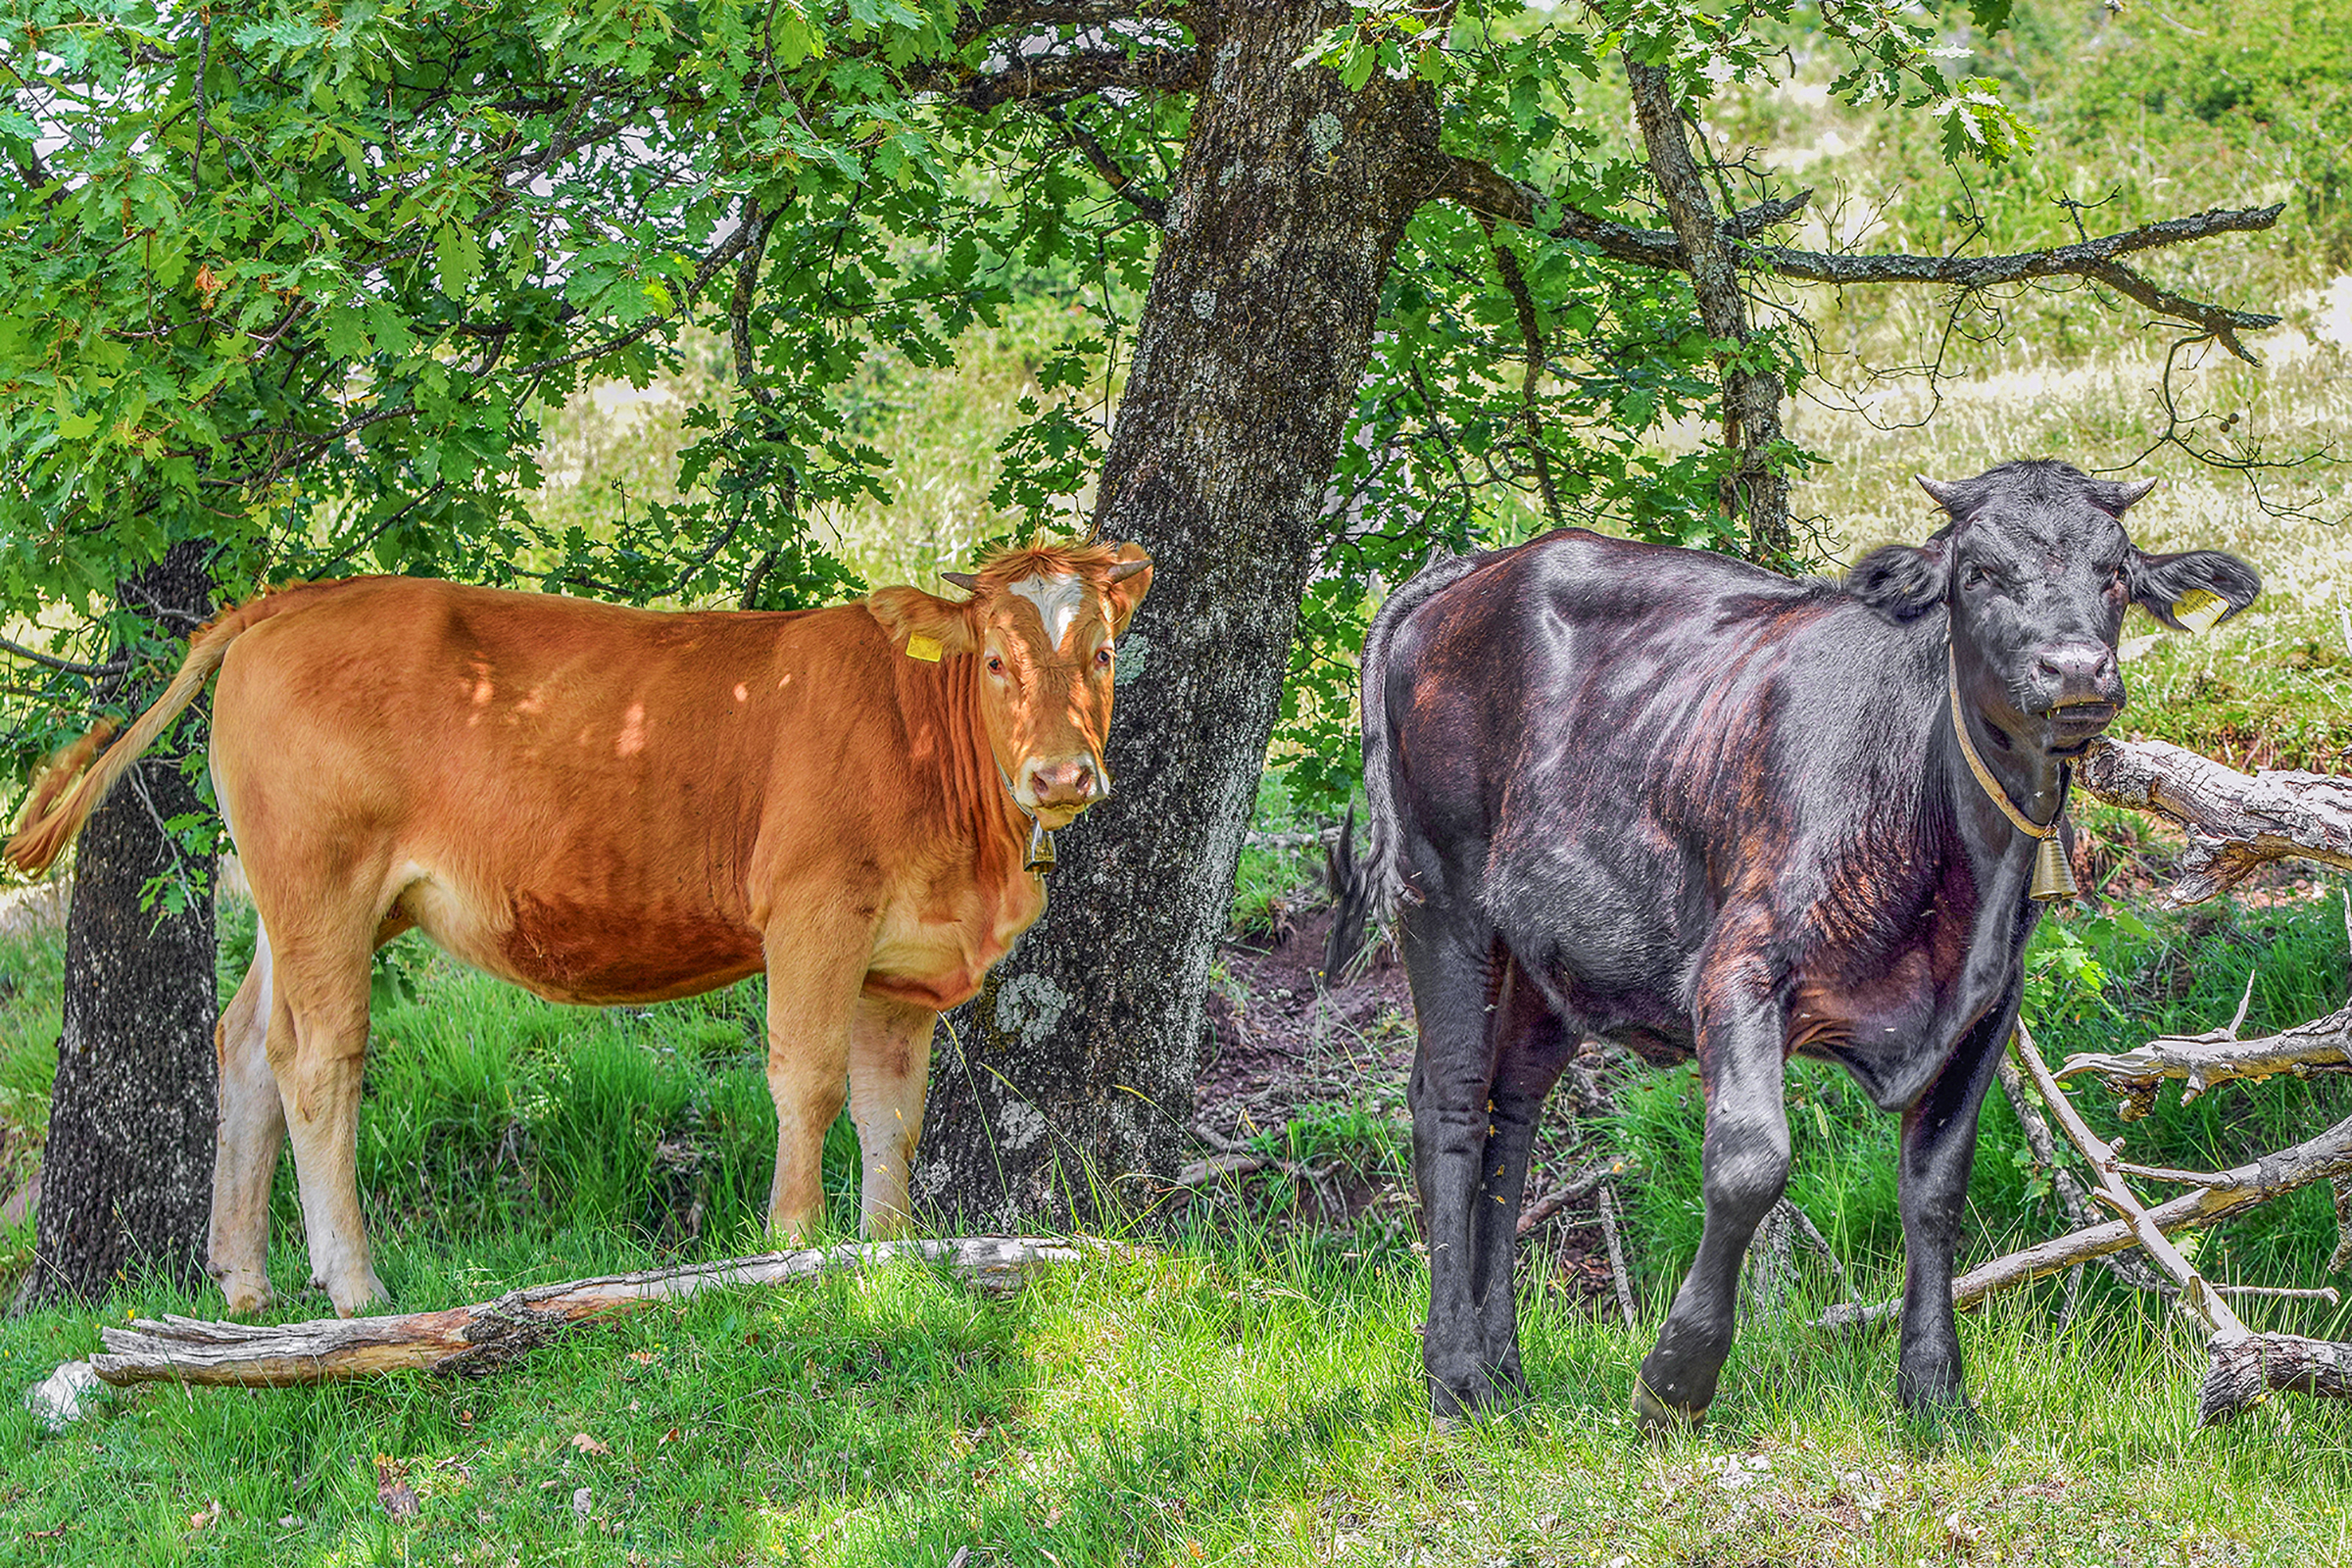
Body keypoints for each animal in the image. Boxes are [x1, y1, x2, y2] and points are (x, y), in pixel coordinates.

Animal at [9, 545, 1148, 1316]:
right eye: (996, 661)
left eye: (1101, 653)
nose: (1059, 775)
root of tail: (307, 595)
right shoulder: (814, 910)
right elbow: (809, 1082)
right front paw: (795, 1248)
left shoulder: (900, 964)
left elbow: (891, 1117)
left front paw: (890, 1253)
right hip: (321, 879)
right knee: (318, 1059)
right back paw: (355, 1286)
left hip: (295, 903)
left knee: (245, 1044)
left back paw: (243, 1284)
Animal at [1336, 461, 2248, 1429]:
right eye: (1978, 574)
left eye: (2115, 573)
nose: (2075, 668)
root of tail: (1488, 566)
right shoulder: (1738, 967)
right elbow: (1751, 1162)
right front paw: (1676, 1376)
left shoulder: (1987, 1005)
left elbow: (1935, 1189)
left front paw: (1935, 1392)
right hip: (1439, 896)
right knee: (1449, 1105)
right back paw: (1455, 1375)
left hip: (1548, 956)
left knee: (1511, 1112)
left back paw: (1505, 1371)